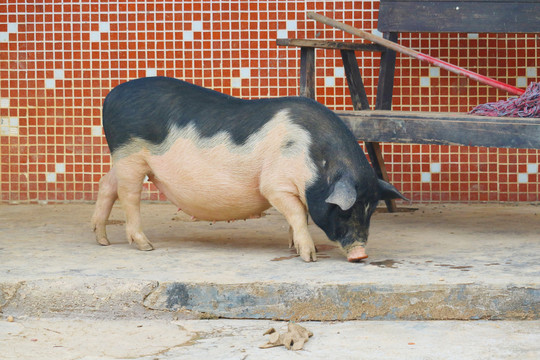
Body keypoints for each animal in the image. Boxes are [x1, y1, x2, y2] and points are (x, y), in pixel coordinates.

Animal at [90, 76, 408, 262]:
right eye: (346, 210)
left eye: (371, 209)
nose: (360, 254)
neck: (317, 160)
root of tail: (110, 95)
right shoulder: (275, 184)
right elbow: (297, 213)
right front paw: (308, 256)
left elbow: (300, 215)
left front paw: (294, 247)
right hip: (131, 157)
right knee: (128, 196)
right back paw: (145, 246)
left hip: (121, 158)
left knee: (107, 184)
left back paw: (102, 240)